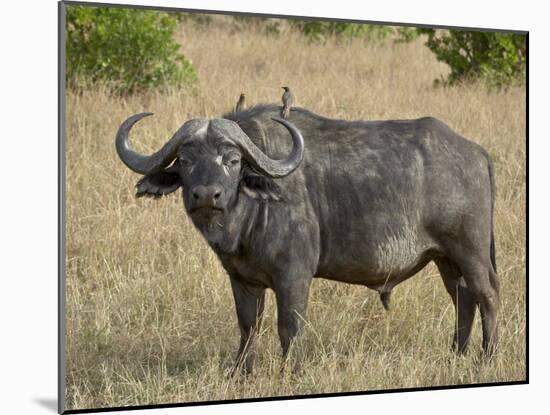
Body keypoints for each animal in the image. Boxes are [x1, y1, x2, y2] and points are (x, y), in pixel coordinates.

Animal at [116, 103, 500, 374]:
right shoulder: (241, 279)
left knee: (487, 296)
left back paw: (487, 359)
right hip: (444, 258)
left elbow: (289, 327)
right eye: (185, 160)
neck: (250, 217)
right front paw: (240, 373)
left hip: (470, 251)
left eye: (233, 159)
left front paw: (291, 372)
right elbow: (247, 326)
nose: (207, 195)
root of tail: (476, 153)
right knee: (463, 300)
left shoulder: (294, 276)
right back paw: (456, 356)